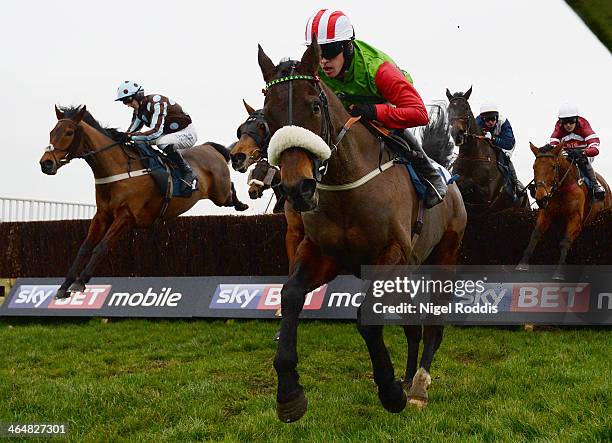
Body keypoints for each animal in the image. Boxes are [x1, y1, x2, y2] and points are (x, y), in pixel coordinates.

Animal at [40, 104, 247, 300]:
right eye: (51, 132)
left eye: (69, 132)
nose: (46, 164)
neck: (118, 169)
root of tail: (209, 147)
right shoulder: (101, 215)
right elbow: (84, 248)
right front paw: (64, 286)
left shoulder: (127, 216)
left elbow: (101, 247)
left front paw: (80, 282)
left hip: (220, 195)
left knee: (230, 190)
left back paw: (242, 204)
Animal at [260, 36, 468, 422]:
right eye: (267, 117)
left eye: (315, 106)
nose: (297, 189)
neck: (347, 186)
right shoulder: (322, 253)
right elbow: (291, 294)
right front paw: (289, 393)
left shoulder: (392, 254)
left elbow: (368, 321)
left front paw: (390, 391)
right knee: (412, 325)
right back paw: (407, 377)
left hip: (444, 255)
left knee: (434, 323)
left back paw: (418, 387)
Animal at [512, 143, 608, 280]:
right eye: (534, 167)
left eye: (553, 167)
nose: (540, 198)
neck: (561, 190)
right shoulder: (546, 213)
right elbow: (535, 235)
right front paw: (522, 264)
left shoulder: (575, 218)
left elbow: (565, 242)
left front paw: (559, 272)